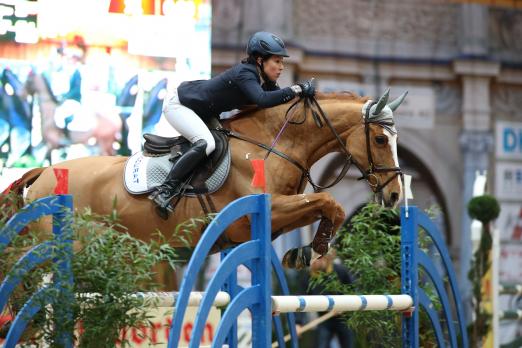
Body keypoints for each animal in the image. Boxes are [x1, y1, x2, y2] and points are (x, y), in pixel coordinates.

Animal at [10, 88, 404, 282]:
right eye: (380, 139)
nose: (396, 194)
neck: (273, 143)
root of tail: (43, 173)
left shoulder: (275, 215)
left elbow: (321, 207)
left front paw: (304, 252)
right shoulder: (258, 212)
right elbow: (329, 203)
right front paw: (314, 249)